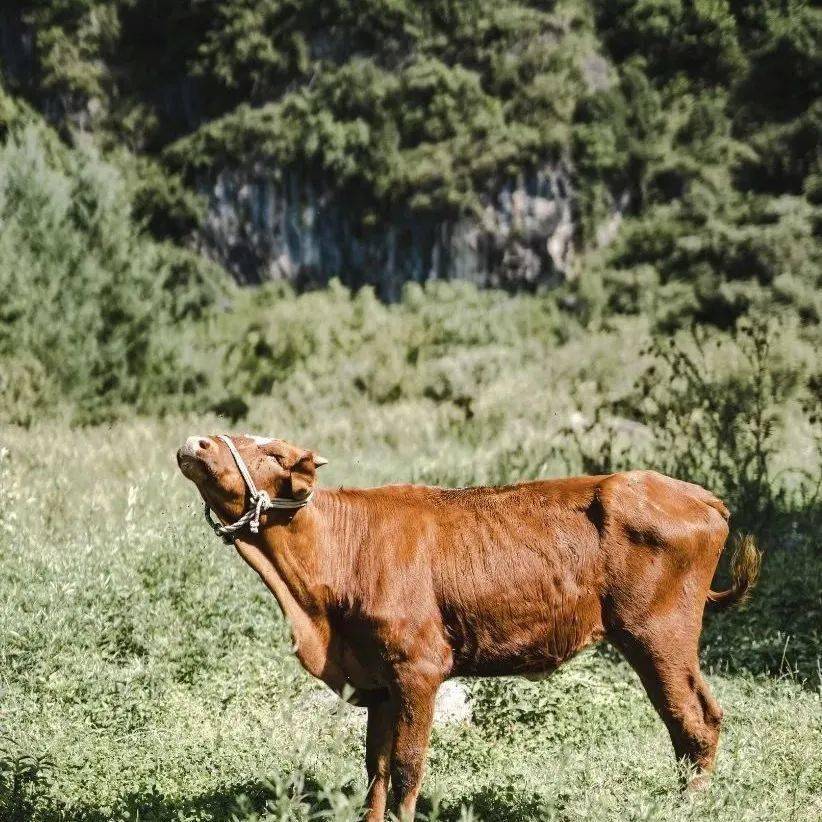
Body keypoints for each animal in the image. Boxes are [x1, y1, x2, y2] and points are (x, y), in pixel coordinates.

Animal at [177, 434, 764, 820]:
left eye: (272, 453)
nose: (196, 441)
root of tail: (699, 495)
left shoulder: (418, 669)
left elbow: (407, 766)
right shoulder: (379, 680)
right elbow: (376, 767)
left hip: (657, 634)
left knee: (693, 721)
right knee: (697, 719)